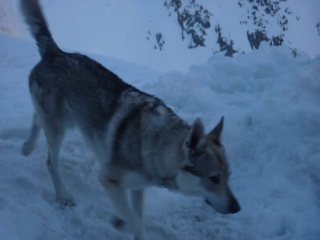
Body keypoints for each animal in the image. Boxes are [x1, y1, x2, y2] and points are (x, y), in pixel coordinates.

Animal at [20, 0, 240, 239]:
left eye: (228, 176)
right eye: (214, 178)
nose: (237, 208)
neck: (156, 146)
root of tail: (56, 52)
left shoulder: (137, 188)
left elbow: (139, 222)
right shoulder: (107, 178)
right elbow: (133, 220)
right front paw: (119, 222)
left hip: (70, 120)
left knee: (36, 118)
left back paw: (27, 147)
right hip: (60, 127)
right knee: (51, 161)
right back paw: (62, 195)